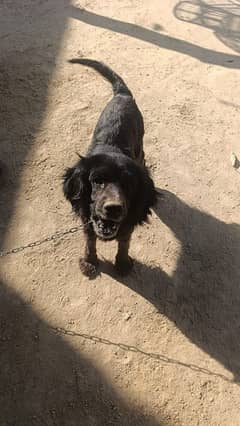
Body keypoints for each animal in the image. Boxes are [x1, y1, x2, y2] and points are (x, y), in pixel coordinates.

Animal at [62, 59, 157, 276]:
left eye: (129, 185)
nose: (113, 208)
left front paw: (122, 263)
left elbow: (124, 241)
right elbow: (90, 240)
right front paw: (89, 261)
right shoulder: (87, 217)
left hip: (140, 144)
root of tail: (123, 94)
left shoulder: (127, 221)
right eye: (97, 181)